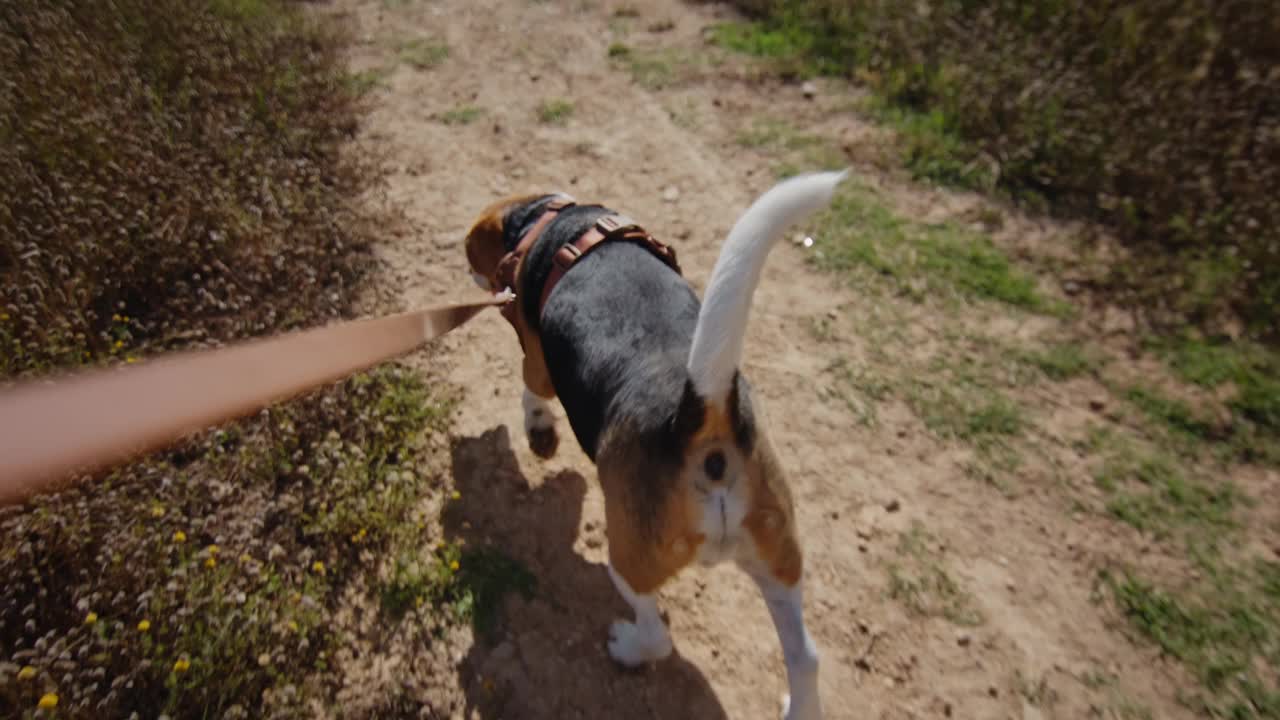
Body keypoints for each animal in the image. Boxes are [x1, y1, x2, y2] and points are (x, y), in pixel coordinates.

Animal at [463, 170, 849, 712]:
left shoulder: (536, 360)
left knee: (658, 636)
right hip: (779, 556)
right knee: (806, 657)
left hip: (631, 559)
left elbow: (530, 392)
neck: (553, 222)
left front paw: (539, 429)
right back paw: (798, 706)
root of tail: (700, 416)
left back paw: (627, 646)